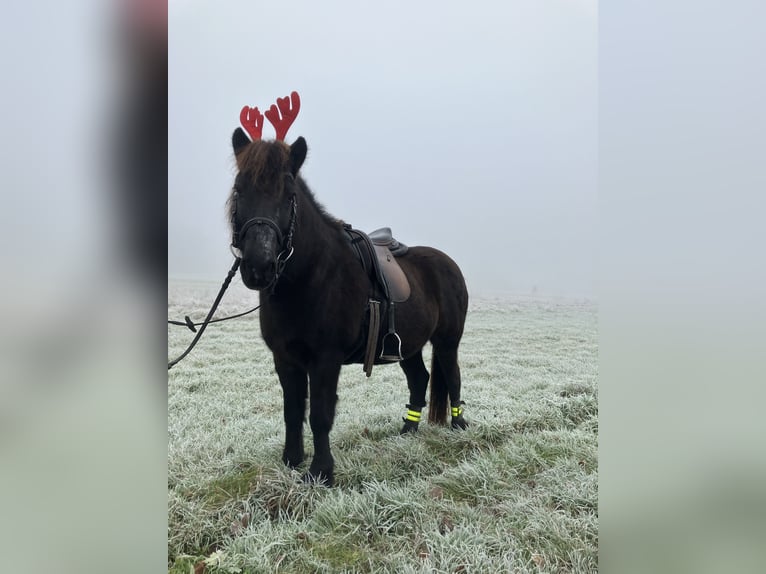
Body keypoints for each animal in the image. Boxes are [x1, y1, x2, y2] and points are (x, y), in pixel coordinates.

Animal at [228, 95, 468, 486]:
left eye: (288, 194)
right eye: (239, 190)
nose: (258, 266)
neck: (307, 278)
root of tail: (447, 263)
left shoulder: (325, 359)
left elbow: (320, 414)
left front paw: (321, 473)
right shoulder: (285, 358)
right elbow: (292, 411)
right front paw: (292, 461)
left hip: (448, 340)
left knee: (453, 376)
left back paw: (460, 426)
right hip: (408, 344)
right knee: (420, 379)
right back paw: (407, 431)